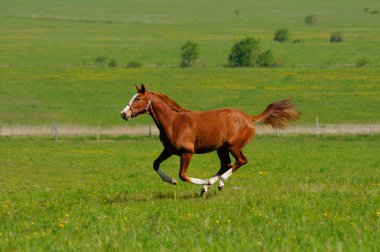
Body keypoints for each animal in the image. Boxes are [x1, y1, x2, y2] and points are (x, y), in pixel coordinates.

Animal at [121, 83, 300, 196]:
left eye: (138, 99)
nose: (124, 113)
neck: (173, 122)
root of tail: (249, 118)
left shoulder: (187, 152)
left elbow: (183, 175)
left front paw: (201, 181)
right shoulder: (169, 150)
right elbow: (155, 164)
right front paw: (171, 181)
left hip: (233, 146)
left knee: (241, 161)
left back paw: (218, 183)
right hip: (221, 149)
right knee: (226, 165)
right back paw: (208, 187)